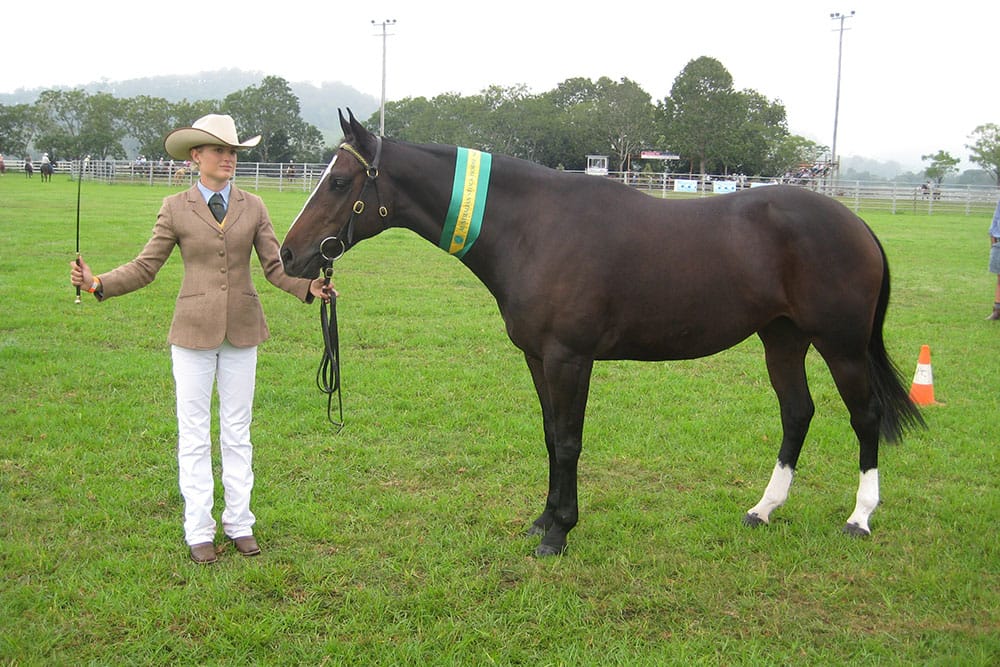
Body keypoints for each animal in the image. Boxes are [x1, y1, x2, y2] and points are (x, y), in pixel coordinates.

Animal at [280, 110, 925, 557]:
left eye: (339, 182)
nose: (288, 255)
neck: (532, 226)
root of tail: (855, 223)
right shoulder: (538, 358)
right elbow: (549, 436)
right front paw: (544, 520)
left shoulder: (571, 358)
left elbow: (568, 440)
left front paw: (559, 534)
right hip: (783, 339)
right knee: (797, 413)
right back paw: (763, 510)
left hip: (841, 346)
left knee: (864, 416)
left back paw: (859, 518)